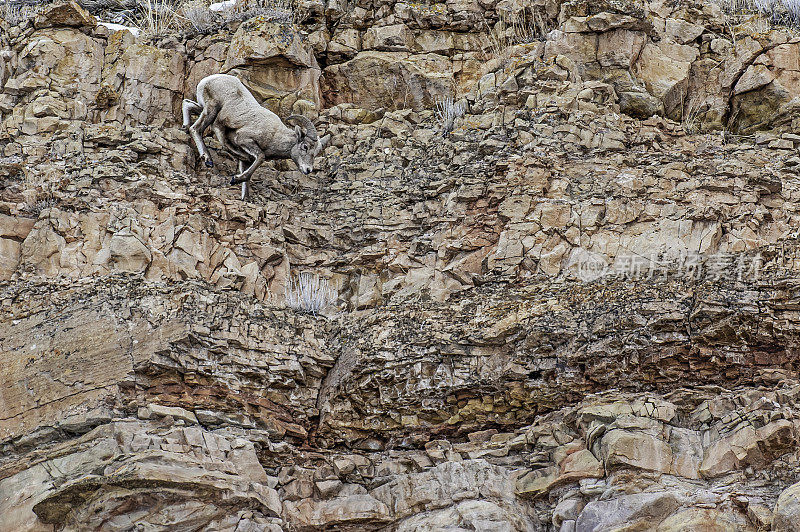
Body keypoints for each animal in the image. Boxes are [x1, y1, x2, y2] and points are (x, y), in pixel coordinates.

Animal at [183, 73, 330, 200]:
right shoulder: (244, 140)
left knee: (187, 104)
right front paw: (235, 179)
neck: (274, 136)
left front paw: (244, 197)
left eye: (316, 152)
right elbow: (260, 157)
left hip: (203, 108)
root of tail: (207, 80)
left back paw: (185, 126)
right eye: (305, 146)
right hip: (212, 109)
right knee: (198, 129)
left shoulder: (246, 159)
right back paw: (207, 159)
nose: (308, 170)